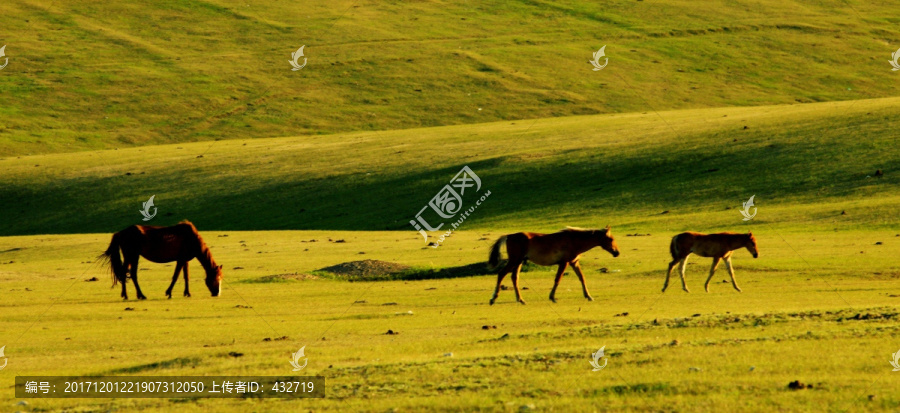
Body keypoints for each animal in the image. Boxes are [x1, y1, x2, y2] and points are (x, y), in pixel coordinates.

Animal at [486, 225, 620, 302]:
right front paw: (552, 297)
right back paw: (493, 298)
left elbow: (582, 278)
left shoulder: (574, 263)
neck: (574, 240)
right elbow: (558, 279)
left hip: (519, 262)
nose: (617, 252)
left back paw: (520, 299)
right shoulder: (564, 263)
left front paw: (589, 296)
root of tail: (509, 236)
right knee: (501, 274)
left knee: (514, 278)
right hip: (514, 260)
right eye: (611, 239)